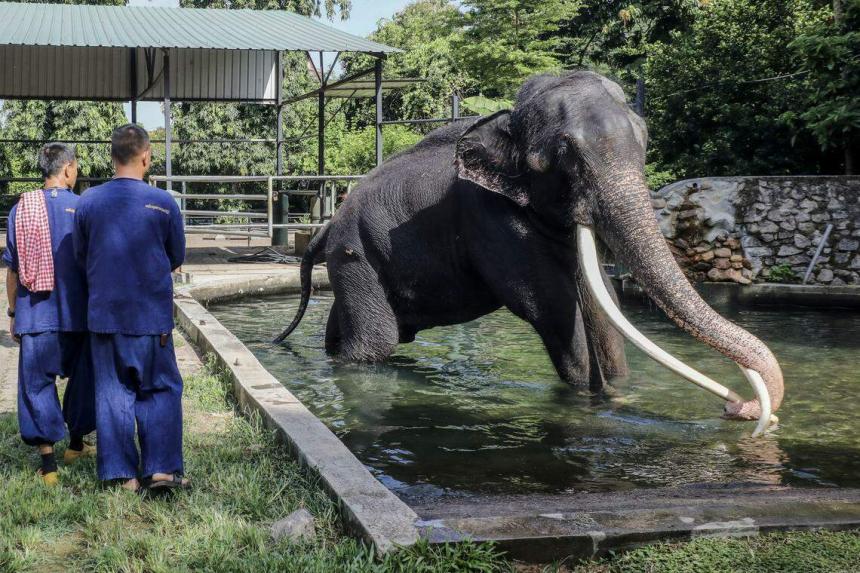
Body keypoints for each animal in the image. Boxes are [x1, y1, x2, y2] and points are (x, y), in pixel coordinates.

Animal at [275, 70, 784, 434]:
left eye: (644, 138)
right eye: (561, 155)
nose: (738, 408)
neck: (507, 121)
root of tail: (326, 227)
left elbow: (601, 303)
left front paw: (618, 397)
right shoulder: (490, 218)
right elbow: (552, 306)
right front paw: (586, 403)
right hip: (356, 255)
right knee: (375, 343)